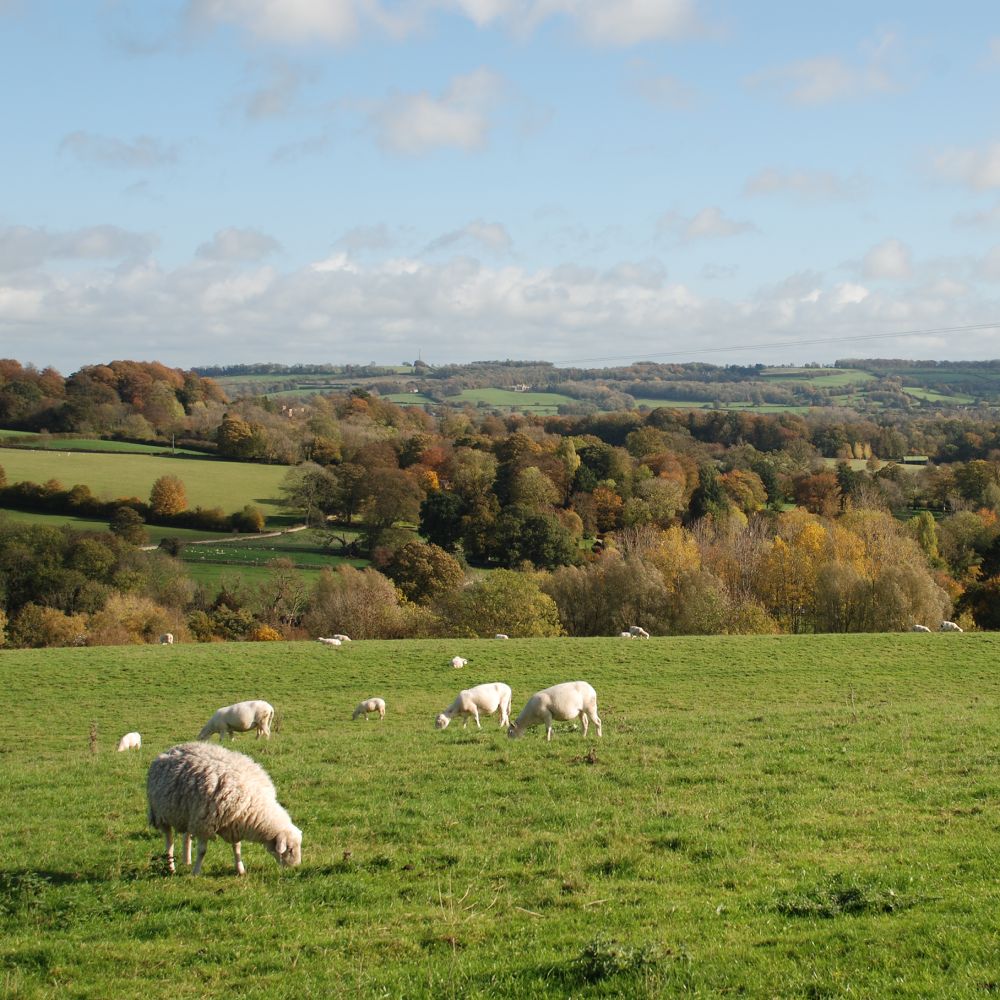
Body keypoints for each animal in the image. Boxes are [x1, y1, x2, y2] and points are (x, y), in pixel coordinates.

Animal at [147, 741, 301, 876]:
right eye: (290, 849)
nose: (296, 867)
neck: (253, 804)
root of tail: (170, 750)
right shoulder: (204, 824)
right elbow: (202, 851)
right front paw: (196, 873)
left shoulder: (234, 822)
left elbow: (237, 848)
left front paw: (240, 870)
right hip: (160, 813)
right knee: (169, 841)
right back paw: (171, 867)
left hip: (187, 813)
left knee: (186, 835)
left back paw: (187, 860)